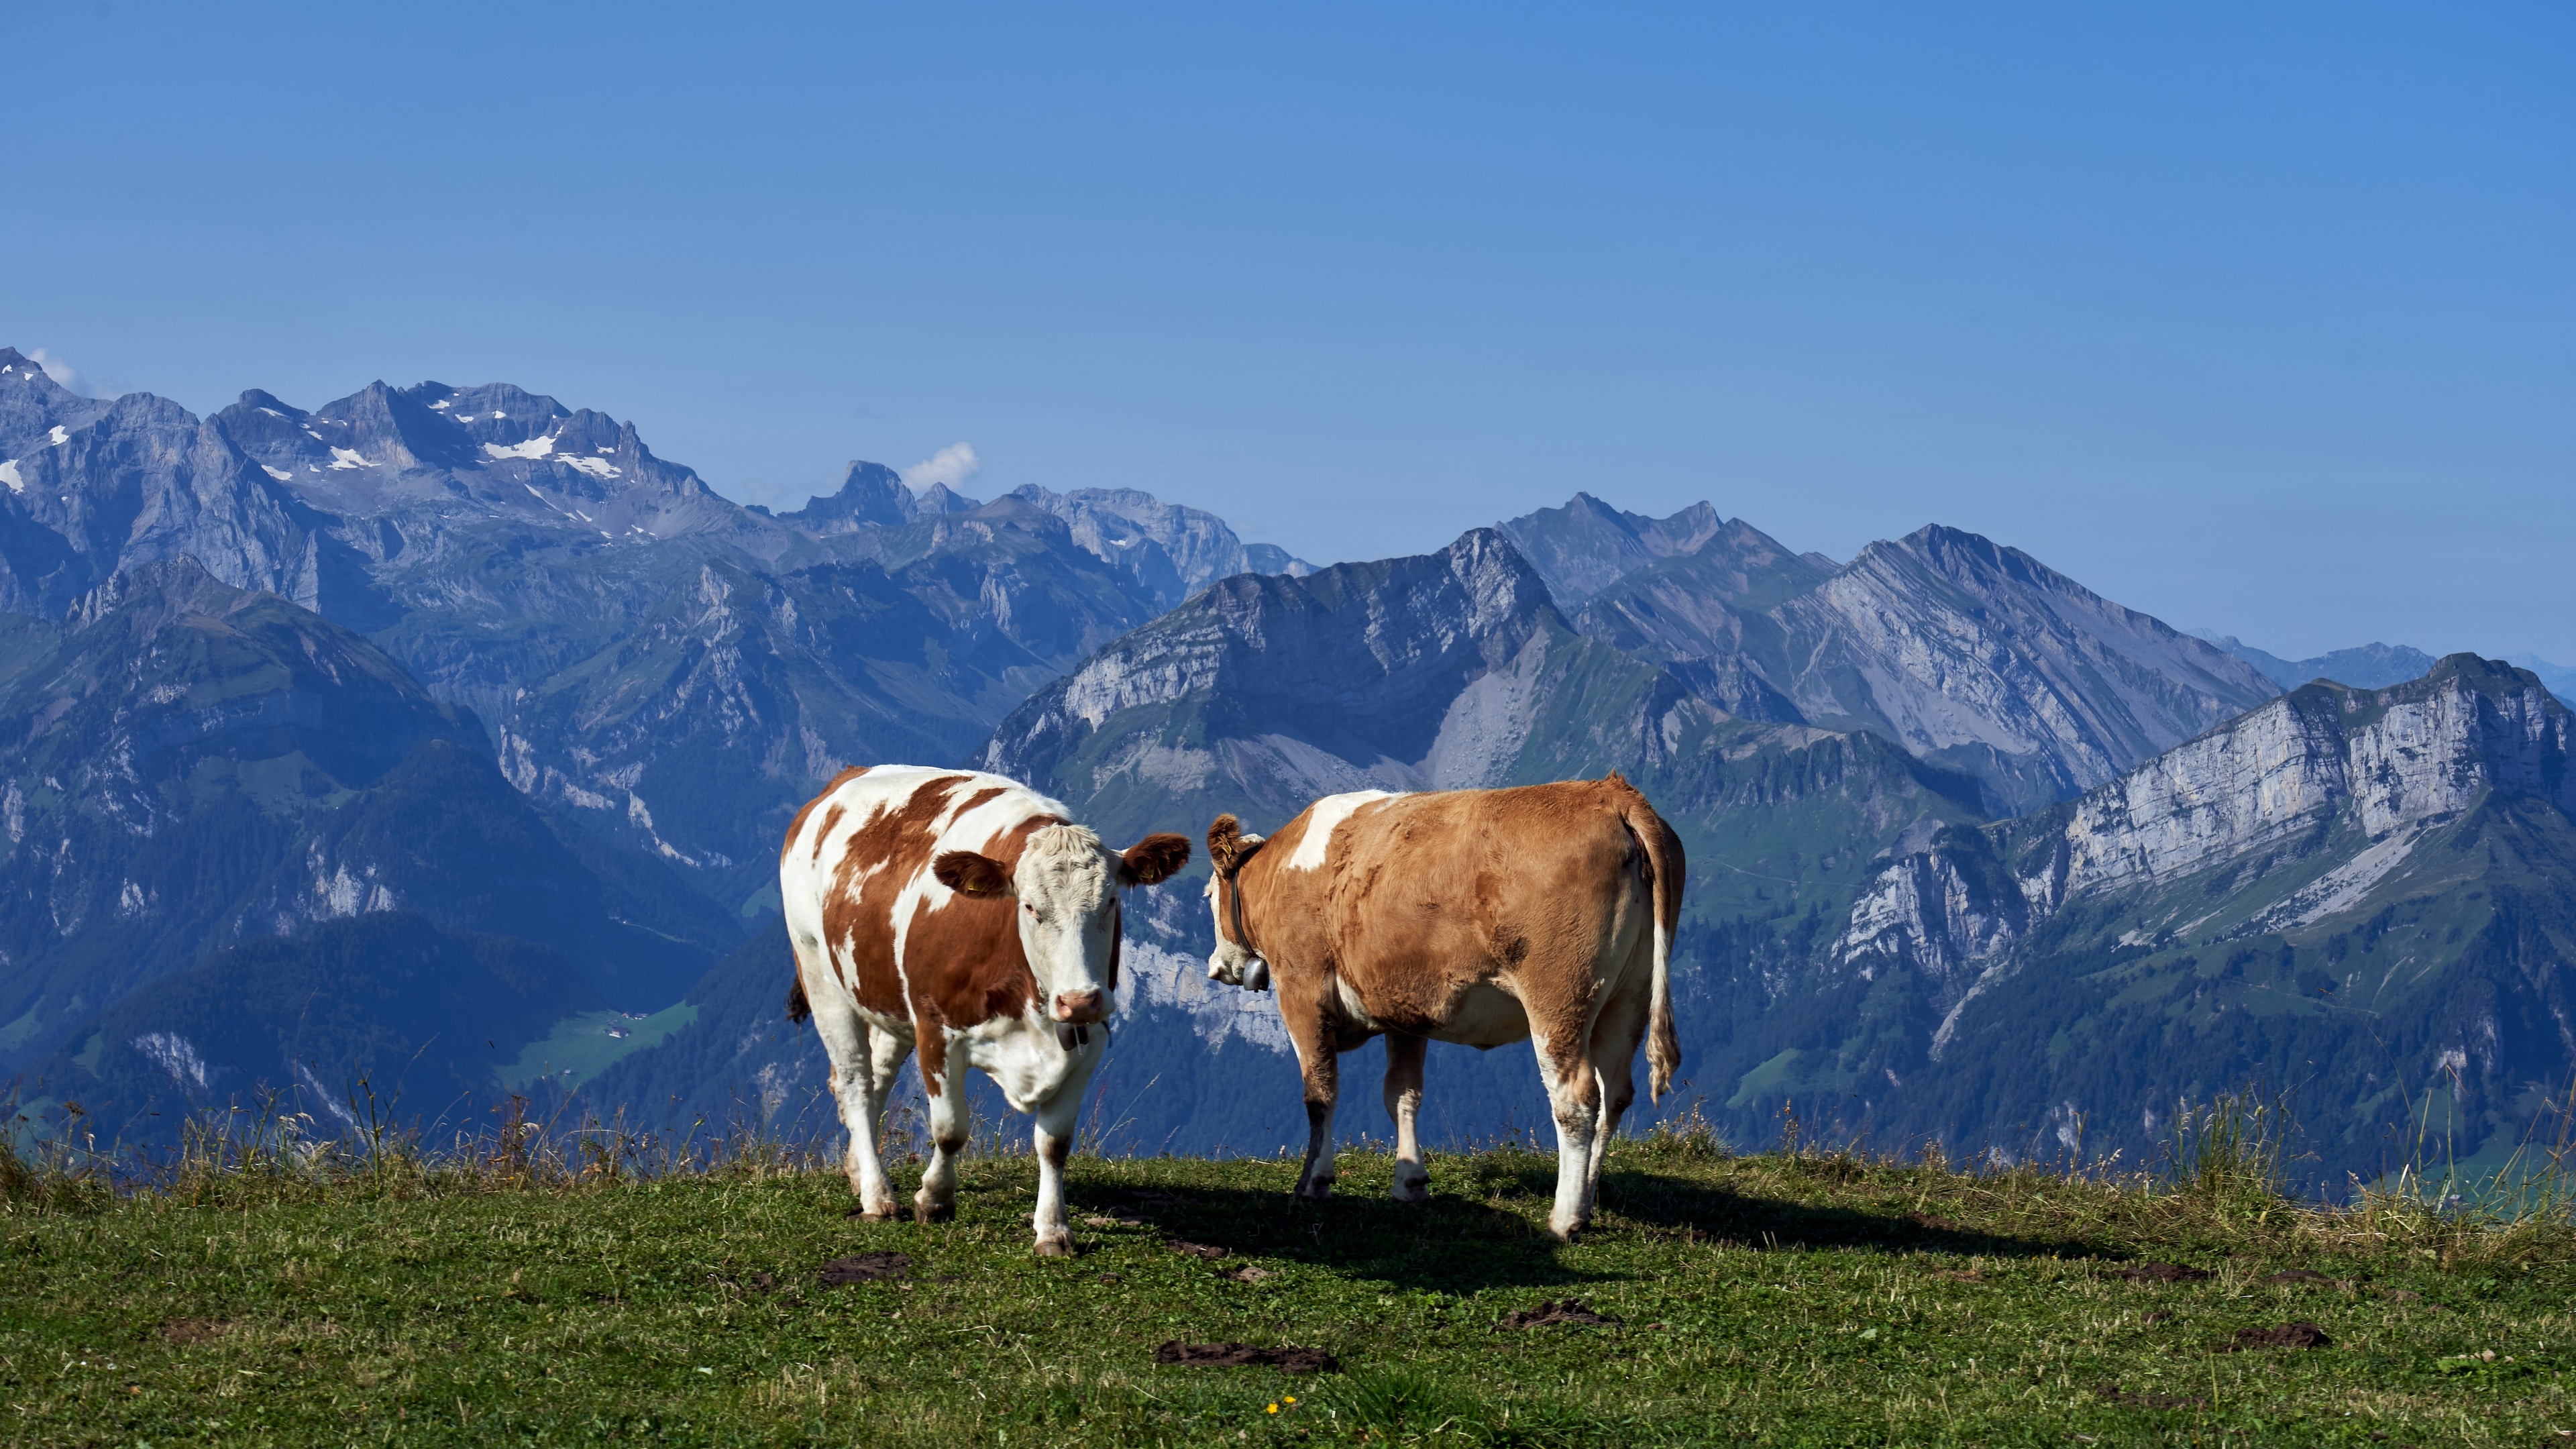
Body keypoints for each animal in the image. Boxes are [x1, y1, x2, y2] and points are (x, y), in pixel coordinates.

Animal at [777, 763, 1190, 1248]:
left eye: (1110, 901)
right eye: (1030, 907)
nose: (1079, 999)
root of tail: (842, 779)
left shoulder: (1089, 1042)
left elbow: (1055, 1143)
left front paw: (1053, 1229)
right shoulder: (935, 1028)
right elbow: (950, 1130)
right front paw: (934, 1199)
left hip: (886, 1000)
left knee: (877, 1078)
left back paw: (860, 1173)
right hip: (819, 974)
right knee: (855, 1082)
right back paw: (878, 1197)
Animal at [1200, 773, 1679, 1237]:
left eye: (1207, 896)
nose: (1215, 967)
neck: (1282, 871)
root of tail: (1611, 792)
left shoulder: (1301, 990)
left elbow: (1320, 1094)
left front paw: (1313, 1184)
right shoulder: (1403, 1011)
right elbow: (1402, 1094)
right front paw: (1410, 1184)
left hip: (1558, 996)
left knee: (1576, 1098)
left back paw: (1565, 1219)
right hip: (1629, 997)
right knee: (1614, 1095)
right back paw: (1587, 1203)